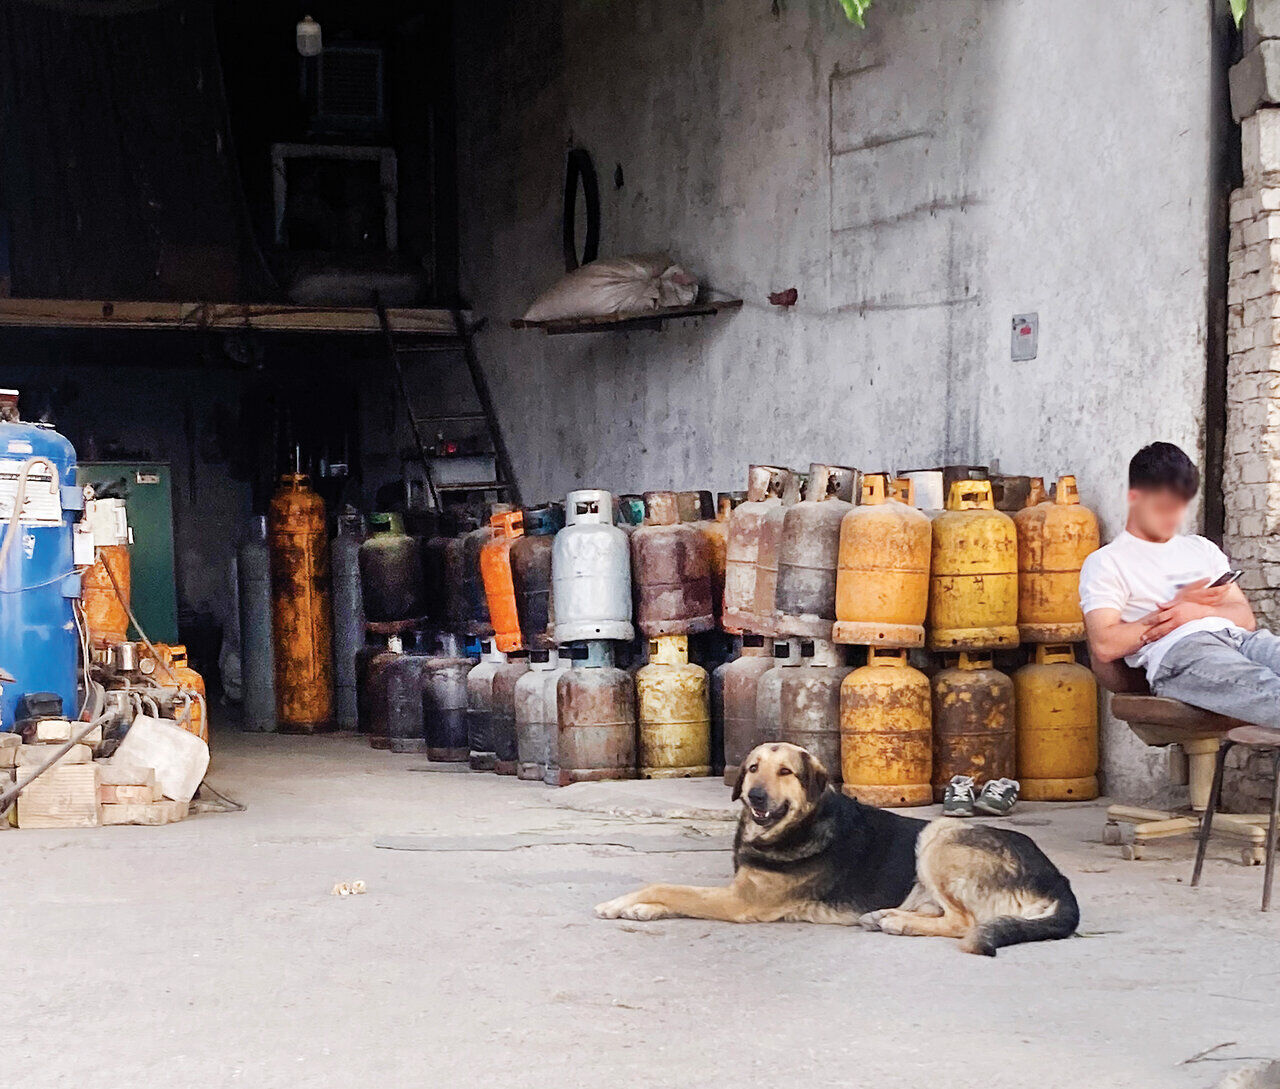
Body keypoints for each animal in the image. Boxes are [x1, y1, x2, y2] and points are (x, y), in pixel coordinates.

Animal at [593, 742, 1075, 952]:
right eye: (753, 768)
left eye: (786, 772)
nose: (756, 797)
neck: (799, 826)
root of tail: (1060, 881)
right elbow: (673, 893)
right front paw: (638, 909)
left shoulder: (740, 902)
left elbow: (668, 886)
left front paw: (621, 903)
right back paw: (886, 915)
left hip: (938, 837)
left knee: (964, 921)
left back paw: (898, 923)